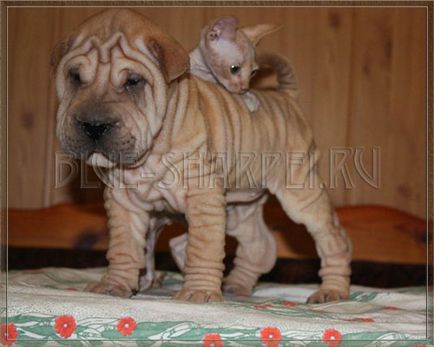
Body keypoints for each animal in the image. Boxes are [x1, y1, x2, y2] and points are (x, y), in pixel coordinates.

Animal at [53, 8, 352, 304]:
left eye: (133, 82)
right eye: (75, 77)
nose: (93, 126)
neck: (153, 148)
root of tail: (287, 98)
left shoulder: (202, 195)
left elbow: (202, 247)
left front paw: (198, 292)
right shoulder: (123, 201)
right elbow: (124, 247)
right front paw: (114, 285)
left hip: (300, 193)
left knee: (334, 238)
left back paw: (332, 291)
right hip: (240, 205)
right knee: (260, 244)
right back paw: (237, 285)